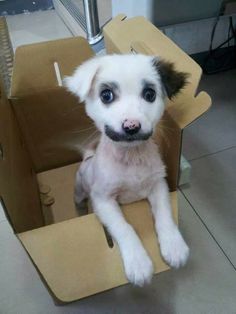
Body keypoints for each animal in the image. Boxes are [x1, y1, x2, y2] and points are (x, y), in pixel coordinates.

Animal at [65, 54, 190, 288]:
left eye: (149, 94)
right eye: (106, 95)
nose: (131, 126)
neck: (131, 158)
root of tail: (88, 156)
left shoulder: (158, 185)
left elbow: (165, 215)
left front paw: (174, 245)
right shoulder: (103, 200)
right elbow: (124, 227)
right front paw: (138, 262)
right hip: (79, 189)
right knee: (78, 202)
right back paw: (80, 211)